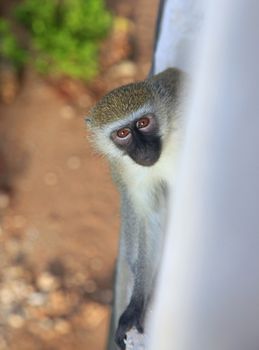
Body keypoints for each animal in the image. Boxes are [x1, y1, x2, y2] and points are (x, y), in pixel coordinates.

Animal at [87, 68, 187, 350]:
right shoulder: (124, 168)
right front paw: (135, 304)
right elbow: (147, 217)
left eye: (143, 123)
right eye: (122, 134)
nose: (142, 149)